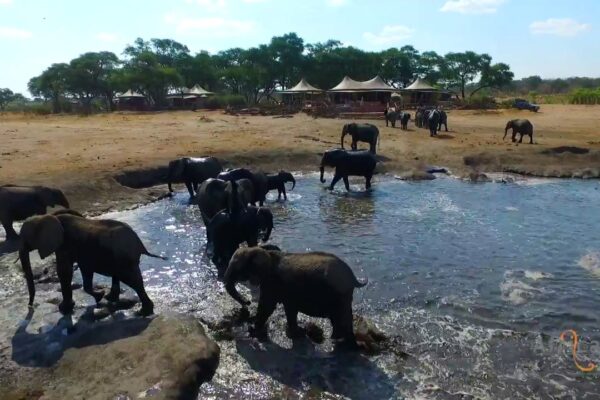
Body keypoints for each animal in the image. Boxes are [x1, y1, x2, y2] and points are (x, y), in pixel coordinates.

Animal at [18, 209, 164, 316]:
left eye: (26, 238)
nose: (30, 306)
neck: (47, 216)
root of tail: (139, 243)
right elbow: (82, 271)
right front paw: (99, 296)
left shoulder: (65, 245)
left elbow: (64, 271)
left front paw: (64, 309)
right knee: (121, 276)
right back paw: (111, 298)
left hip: (124, 258)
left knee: (132, 280)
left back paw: (143, 312)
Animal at [224, 245, 366, 348]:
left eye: (238, 269)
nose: (247, 302)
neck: (264, 251)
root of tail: (353, 277)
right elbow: (289, 309)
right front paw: (296, 334)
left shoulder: (272, 282)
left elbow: (267, 306)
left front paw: (252, 330)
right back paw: (338, 341)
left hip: (340, 294)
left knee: (343, 316)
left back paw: (348, 346)